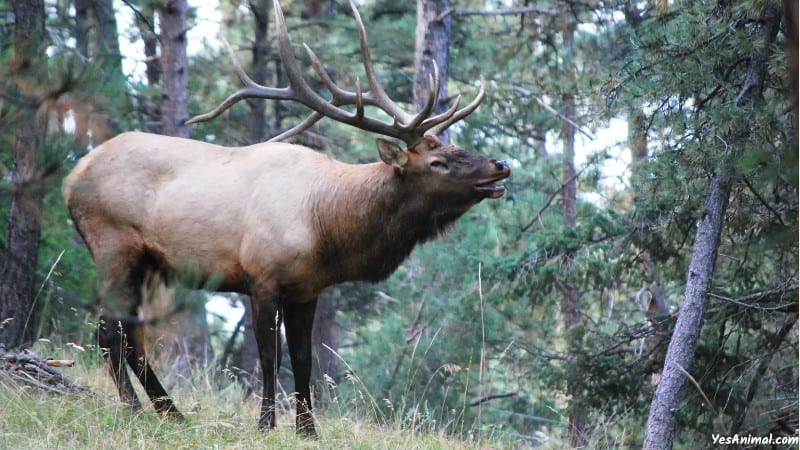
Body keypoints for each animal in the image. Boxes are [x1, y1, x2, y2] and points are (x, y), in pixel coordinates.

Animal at [62, 0, 512, 436]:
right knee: (110, 331)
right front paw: (265, 424)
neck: (325, 227)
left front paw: (309, 430)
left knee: (134, 333)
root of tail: (71, 177)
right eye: (438, 162)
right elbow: (268, 358)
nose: (502, 165)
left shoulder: (307, 288)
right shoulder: (262, 278)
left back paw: (171, 412)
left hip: (149, 264)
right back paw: (134, 408)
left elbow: (303, 360)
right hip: (114, 246)